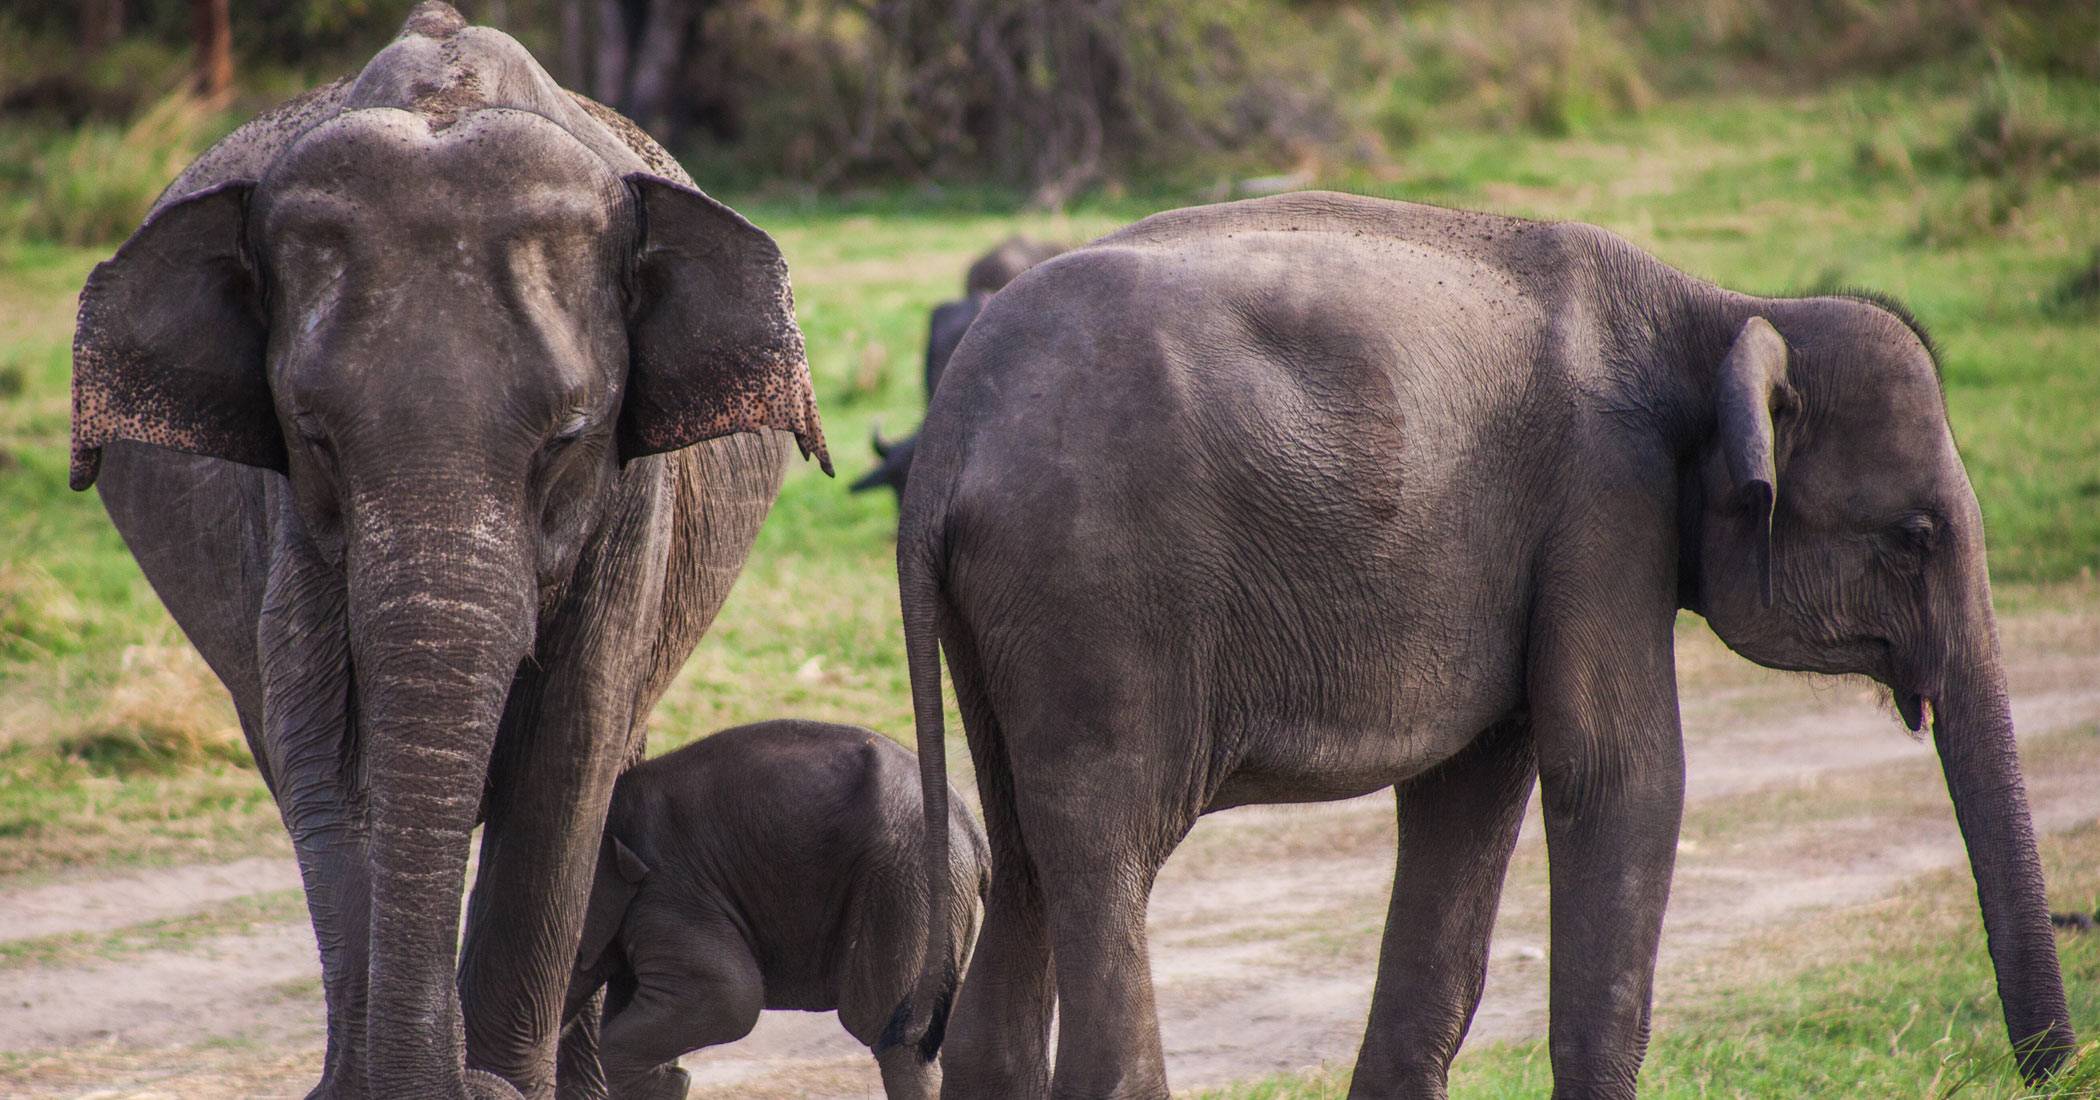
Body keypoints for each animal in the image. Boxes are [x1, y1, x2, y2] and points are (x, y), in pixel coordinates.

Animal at [67, 5, 831, 1098]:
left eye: (567, 436)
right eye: (313, 435)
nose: (464, 1075)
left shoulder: (631, 498)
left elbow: (569, 749)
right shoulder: (288, 519)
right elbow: (325, 751)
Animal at [559, 719, 988, 1100]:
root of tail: (973, 829)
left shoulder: (666, 891)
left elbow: (731, 994)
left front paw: (666, 1079)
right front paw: (669, 1079)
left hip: (904, 887)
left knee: (891, 1035)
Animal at [893, 191, 2074, 1100]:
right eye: (1914, 536)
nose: (2051, 1069)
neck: (1721, 307)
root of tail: (949, 434)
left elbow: (1470, 799)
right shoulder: (1606, 503)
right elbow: (1622, 775)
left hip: (1012, 623)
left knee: (1027, 862)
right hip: (1097, 598)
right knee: (1105, 855)